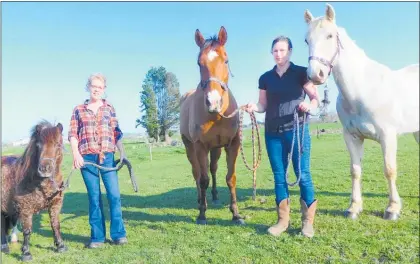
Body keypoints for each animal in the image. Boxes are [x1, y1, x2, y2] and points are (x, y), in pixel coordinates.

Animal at [1, 121, 67, 260]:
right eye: (39, 145)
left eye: (58, 144)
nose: (44, 169)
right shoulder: (26, 208)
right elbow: (27, 230)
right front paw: (26, 253)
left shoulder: (55, 205)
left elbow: (56, 225)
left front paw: (61, 246)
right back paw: (4, 247)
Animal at [180, 26, 244, 225]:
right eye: (199, 63)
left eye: (226, 59)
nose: (213, 102)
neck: (217, 116)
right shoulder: (200, 146)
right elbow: (203, 180)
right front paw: (202, 214)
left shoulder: (232, 145)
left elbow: (231, 178)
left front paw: (235, 213)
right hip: (190, 147)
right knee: (197, 173)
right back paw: (201, 199)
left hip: (216, 148)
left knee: (213, 169)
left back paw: (214, 196)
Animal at [304, 4, 418, 221]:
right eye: (306, 40)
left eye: (330, 35)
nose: (316, 74)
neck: (362, 89)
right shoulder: (352, 137)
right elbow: (355, 170)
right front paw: (354, 208)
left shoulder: (388, 136)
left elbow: (389, 170)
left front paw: (392, 209)